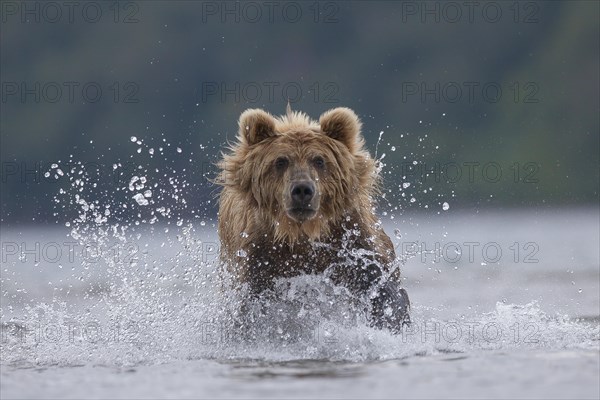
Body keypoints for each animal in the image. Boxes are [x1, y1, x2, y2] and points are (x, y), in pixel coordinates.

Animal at [218, 105, 410, 332]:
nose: (302, 189)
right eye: (281, 161)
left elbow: (381, 287)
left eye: (319, 160)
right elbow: (250, 303)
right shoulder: (259, 254)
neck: (302, 232)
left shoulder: (352, 241)